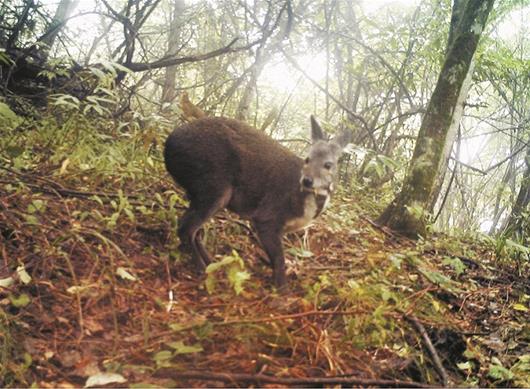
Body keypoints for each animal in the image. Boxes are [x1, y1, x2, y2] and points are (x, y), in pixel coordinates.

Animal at [163, 113, 348, 286]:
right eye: (307, 159)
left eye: (328, 165)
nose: (307, 180)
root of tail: (168, 145)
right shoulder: (267, 216)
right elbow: (279, 258)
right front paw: (282, 289)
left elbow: (274, 257)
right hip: (214, 186)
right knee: (185, 228)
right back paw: (202, 268)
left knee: (194, 230)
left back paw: (211, 262)